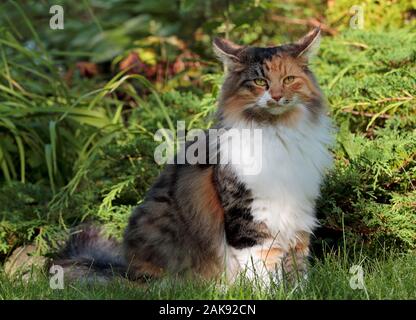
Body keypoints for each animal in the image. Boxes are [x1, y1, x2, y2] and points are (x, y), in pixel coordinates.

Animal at [54, 27, 334, 286]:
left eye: (288, 79)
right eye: (260, 83)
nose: (276, 96)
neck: (278, 132)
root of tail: (126, 270)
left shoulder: (298, 215)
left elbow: (297, 270)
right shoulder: (249, 217)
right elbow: (263, 270)